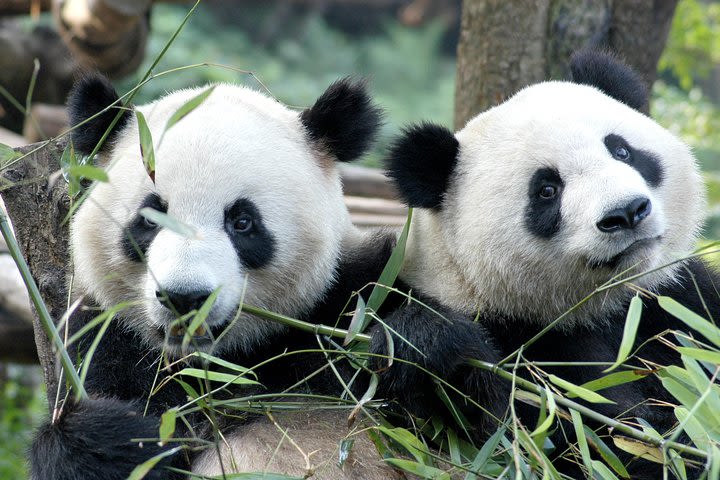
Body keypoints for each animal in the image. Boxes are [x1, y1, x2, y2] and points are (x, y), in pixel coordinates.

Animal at [29, 74, 404, 480]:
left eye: (242, 222)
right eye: (149, 219)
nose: (184, 297)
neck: (223, 365)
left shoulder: (348, 296)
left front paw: (402, 344)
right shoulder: (107, 344)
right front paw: (115, 440)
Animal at [374, 50, 716, 478]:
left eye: (622, 151)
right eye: (547, 190)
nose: (626, 212)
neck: (602, 308)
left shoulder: (677, 302)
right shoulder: (524, 342)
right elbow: (571, 437)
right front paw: (429, 342)